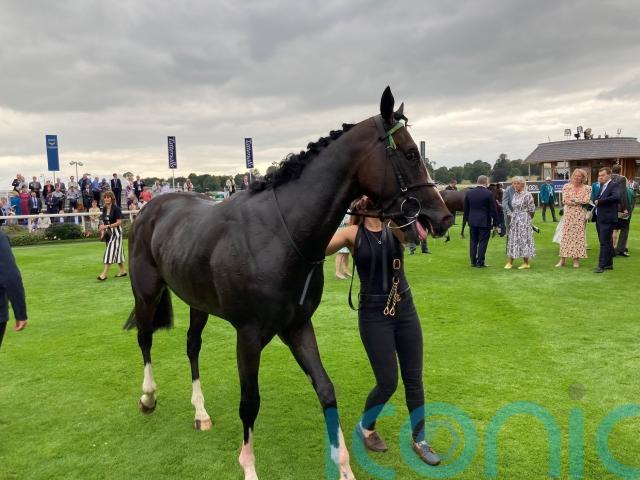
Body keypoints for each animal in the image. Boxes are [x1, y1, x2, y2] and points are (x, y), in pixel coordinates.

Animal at [124, 87, 453, 480]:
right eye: (409, 153)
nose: (443, 216)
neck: (281, 235)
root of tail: (150, 209)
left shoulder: (297, 326)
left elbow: (326, 389)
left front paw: (344, 466)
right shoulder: (249, 335)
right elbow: (250, 402)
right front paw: (249, 467)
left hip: (196, 302)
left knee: (192, 346)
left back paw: (200, 412)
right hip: (146, 292)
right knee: (145, 338)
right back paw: (147, 397)